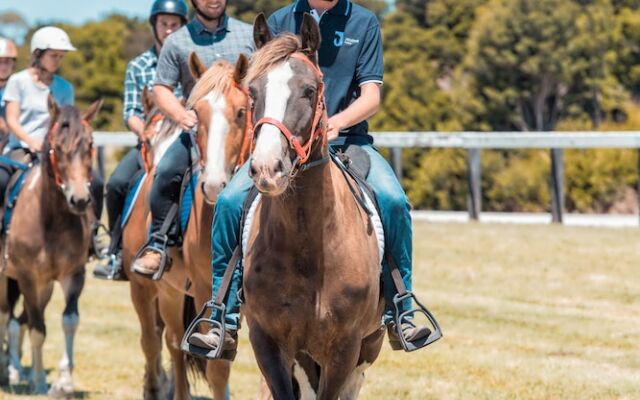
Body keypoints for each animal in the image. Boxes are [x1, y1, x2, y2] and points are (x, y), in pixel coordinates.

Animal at [0, 98, 102, 396]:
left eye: (90, 144)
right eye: (57, 147)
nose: (79, 200)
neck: (51, 221)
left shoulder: (73, 275)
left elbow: (69, 321)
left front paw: (63, 382)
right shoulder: (28, 278)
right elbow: (37, 330)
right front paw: (40, 383)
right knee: (6, 318)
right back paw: (7, 371)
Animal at [121, 53, 251, 400]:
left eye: (241, 111)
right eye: (196, 113)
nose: (214, 185)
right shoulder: (206, 290)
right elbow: (215, 365)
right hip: (160, 291)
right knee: (165, 343)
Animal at [242, 14, 384, 398]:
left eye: (309, 90)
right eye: (252, 92)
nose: (267, 168)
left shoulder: (344, 348)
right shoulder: (268, 342)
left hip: (364, 350)